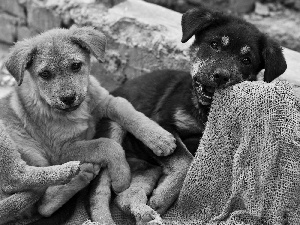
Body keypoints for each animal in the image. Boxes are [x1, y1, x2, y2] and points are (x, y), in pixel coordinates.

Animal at [1, 25, 176, 221]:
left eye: (76, 66)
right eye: (45, 74)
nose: (68, 98)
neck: (76, 112)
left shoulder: (107, 101)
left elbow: (128, 111)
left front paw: (159, 138)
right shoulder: (60, 151)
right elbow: (106, 144)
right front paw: (122, 177)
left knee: (41, 203)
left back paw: (82, 172)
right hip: (18, 148)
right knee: (25, 187)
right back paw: (76, 171)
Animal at [95, 5, 286, 225]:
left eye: (246, 60)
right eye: (214, 45)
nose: (220, 76)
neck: (205, 111)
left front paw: (161, 198)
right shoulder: (161, 125)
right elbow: (185, 160)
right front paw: (163, 197)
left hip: (144, 168)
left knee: (123, 197)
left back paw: (144, 212)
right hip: (114, 131)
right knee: (99, 190)